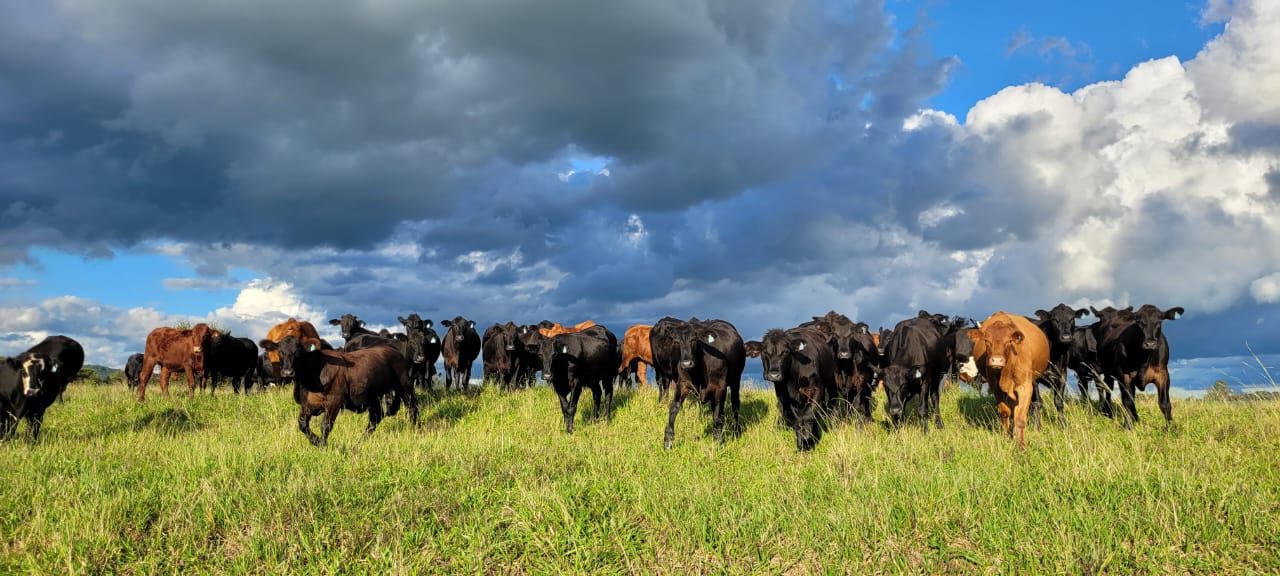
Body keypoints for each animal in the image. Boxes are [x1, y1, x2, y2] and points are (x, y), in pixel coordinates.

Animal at [257, 335, 417, 448]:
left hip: (405, 386)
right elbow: (302, 425)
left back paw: (415, 430)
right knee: (375, 418)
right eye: (280, 351)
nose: (287, 372)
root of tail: (394, 351)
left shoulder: (334, 402)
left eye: (298, 352)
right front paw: (316, 441)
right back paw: (359, 443)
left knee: (412, 408)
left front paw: (323, 445)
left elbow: (325, 426)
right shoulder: (307, 405)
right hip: (372, 396)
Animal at [962, 312, 1049, 448]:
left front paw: (1021, 446)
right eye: (987, 340)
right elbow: (1004, 412)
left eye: (1009, 341)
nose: (997, 360)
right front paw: (1007, 438)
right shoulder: (995, 387)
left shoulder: (1025, 387)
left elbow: (1020, 418)